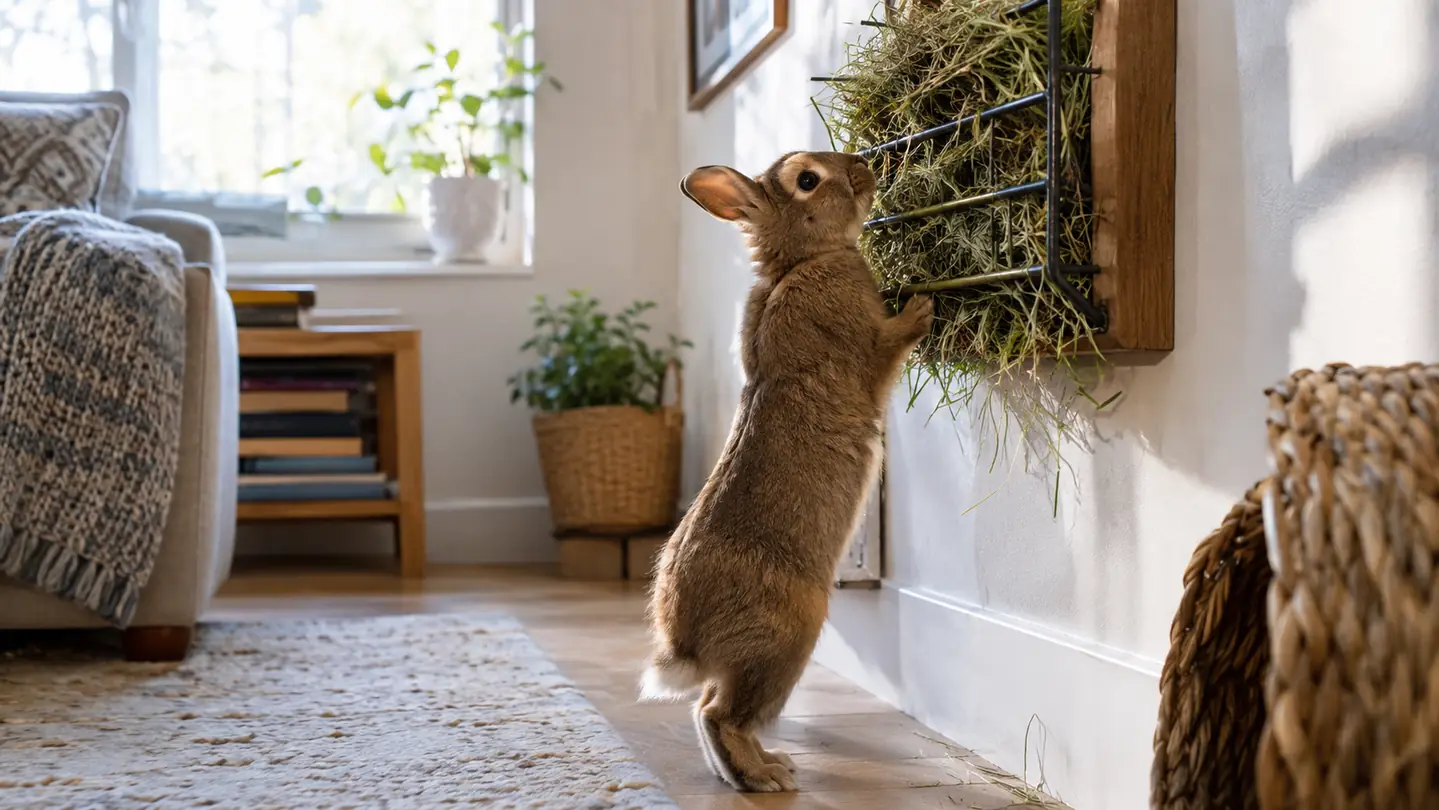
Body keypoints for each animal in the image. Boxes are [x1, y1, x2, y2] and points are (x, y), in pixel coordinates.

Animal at [639, 151, 934, 793]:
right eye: (807, 180)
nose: (865, 167)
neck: (802, 263)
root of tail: (683, 642)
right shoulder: (868, 351)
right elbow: (888, 346)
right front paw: (921, 307)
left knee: (707, 708)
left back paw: (765, 767)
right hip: (787, 639)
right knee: (722, 715)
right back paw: (766, 779)